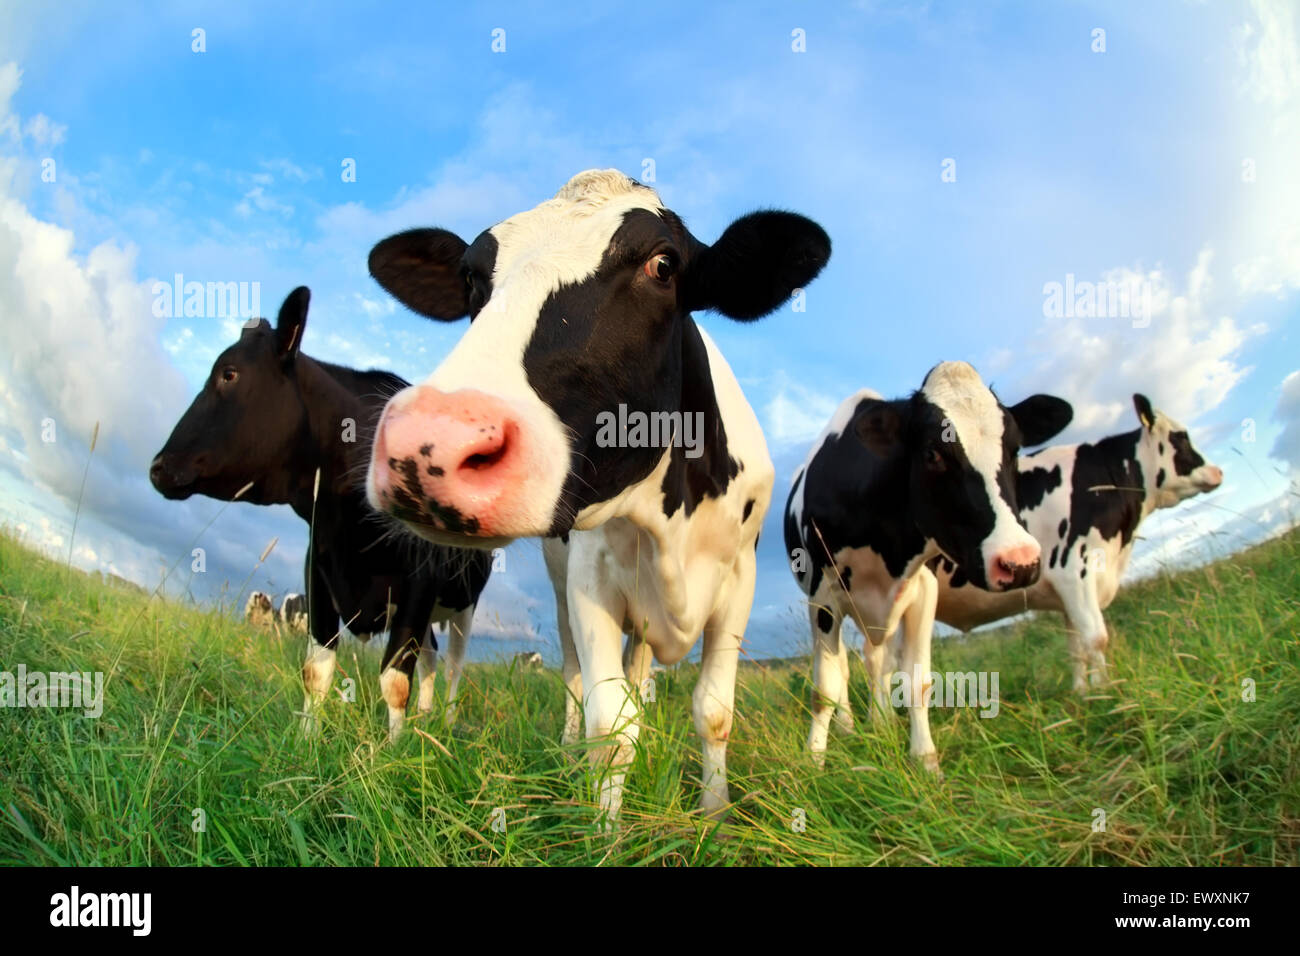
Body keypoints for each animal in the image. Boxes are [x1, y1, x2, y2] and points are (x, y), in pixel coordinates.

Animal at [150, 287, 492, 739]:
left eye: (229, 374)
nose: (158, 467)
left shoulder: (420, 581)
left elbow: (394, 679)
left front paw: (391, 750)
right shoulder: (319, 570)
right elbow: (317, 670)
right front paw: (306, 741)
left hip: (462, 603)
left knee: (454, 665)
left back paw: (446, 723)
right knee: (432, 660)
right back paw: (424, 716)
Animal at [364, 168, 831, 823]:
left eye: (663, 265)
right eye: (472, 279)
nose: (429, 439)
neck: (671, 520)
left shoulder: (740, 577)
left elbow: (714, 713)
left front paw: (714, 814)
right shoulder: (590, 574)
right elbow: (609, 724)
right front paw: (606, 829)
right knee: (573, 676)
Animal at [784, 364, 1073, 771]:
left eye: (1015, 449)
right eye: (933, 453)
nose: (1018, 562)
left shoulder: (922, 589)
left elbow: (915, 679)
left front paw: (924, 758)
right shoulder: (822, 595)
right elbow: (824, 687)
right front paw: (814, 762)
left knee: (877, 660)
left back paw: (881, 720)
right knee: (843, 667)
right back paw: (849, 727)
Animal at [932, 393, 1223, 692]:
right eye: (1181, 438)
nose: (1217, 472)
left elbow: (1076, 646)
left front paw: (1082, 691)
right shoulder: (1073, 569)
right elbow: (1096, 637)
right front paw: (1105, 690)